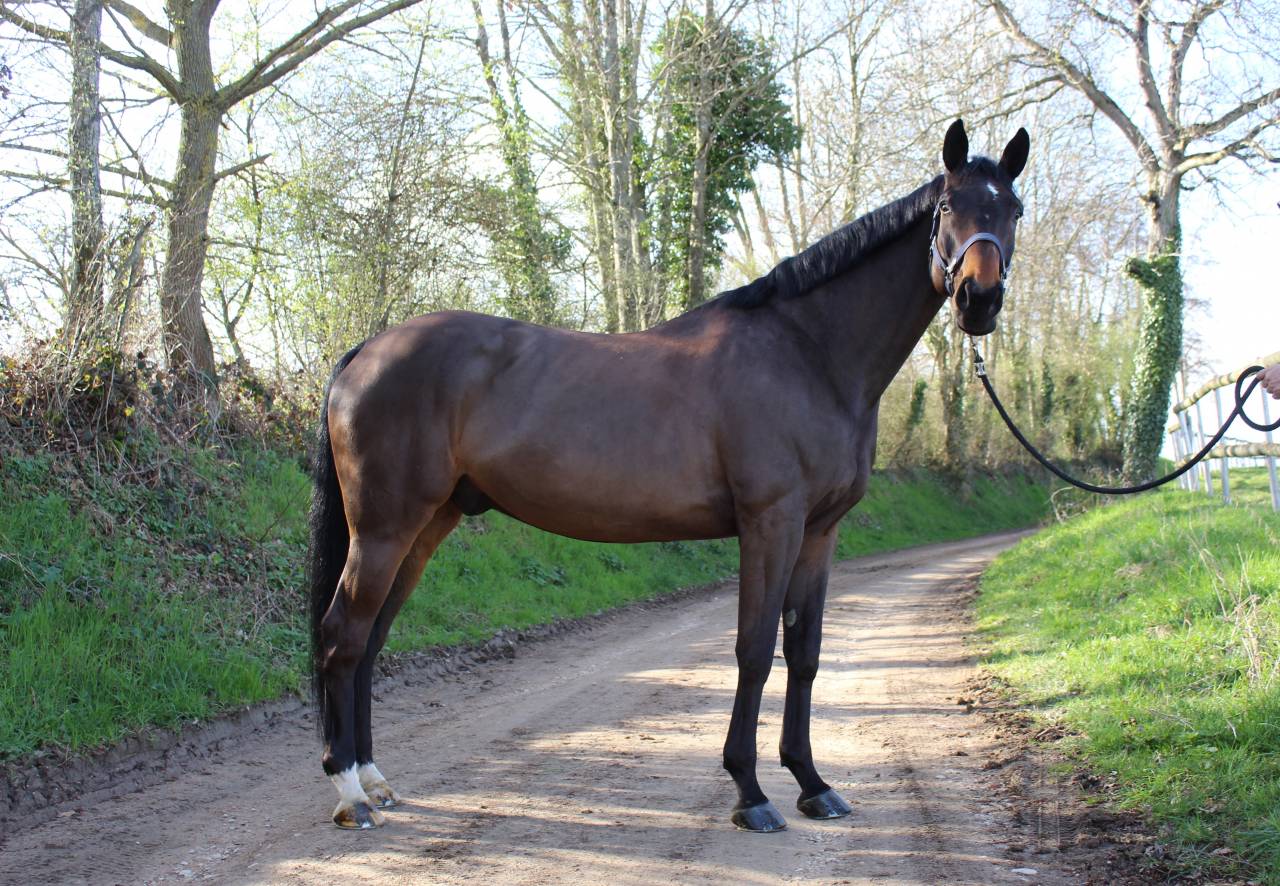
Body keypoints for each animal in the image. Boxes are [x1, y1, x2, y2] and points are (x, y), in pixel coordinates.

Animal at [307, 119, 1029, 831]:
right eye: (948, 207)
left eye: (1014, 209)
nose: (980, 298)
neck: (809, 355)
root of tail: (364, 352)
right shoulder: (770, 524)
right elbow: (753, 649)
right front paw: (751, 793)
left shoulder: (820, 533)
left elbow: (805, 653)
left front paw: (812, 783)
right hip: (384, 528)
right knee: (343, 637)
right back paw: (349, 792)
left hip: (428, 525)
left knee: (372, 640)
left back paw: (374, 779)